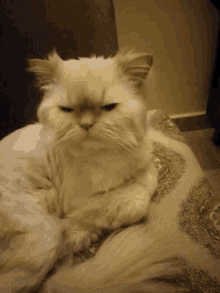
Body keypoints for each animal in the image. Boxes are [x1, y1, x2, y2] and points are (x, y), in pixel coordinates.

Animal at [0, 48, 158, 290]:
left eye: (108, 107)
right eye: (67, 110)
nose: (86, 125)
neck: (104, 158)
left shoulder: (145, 165)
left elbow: (146, 181)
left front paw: (82, 234)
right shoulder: (76, 200)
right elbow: (133, 202)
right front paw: (77, 231)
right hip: (44, 236)